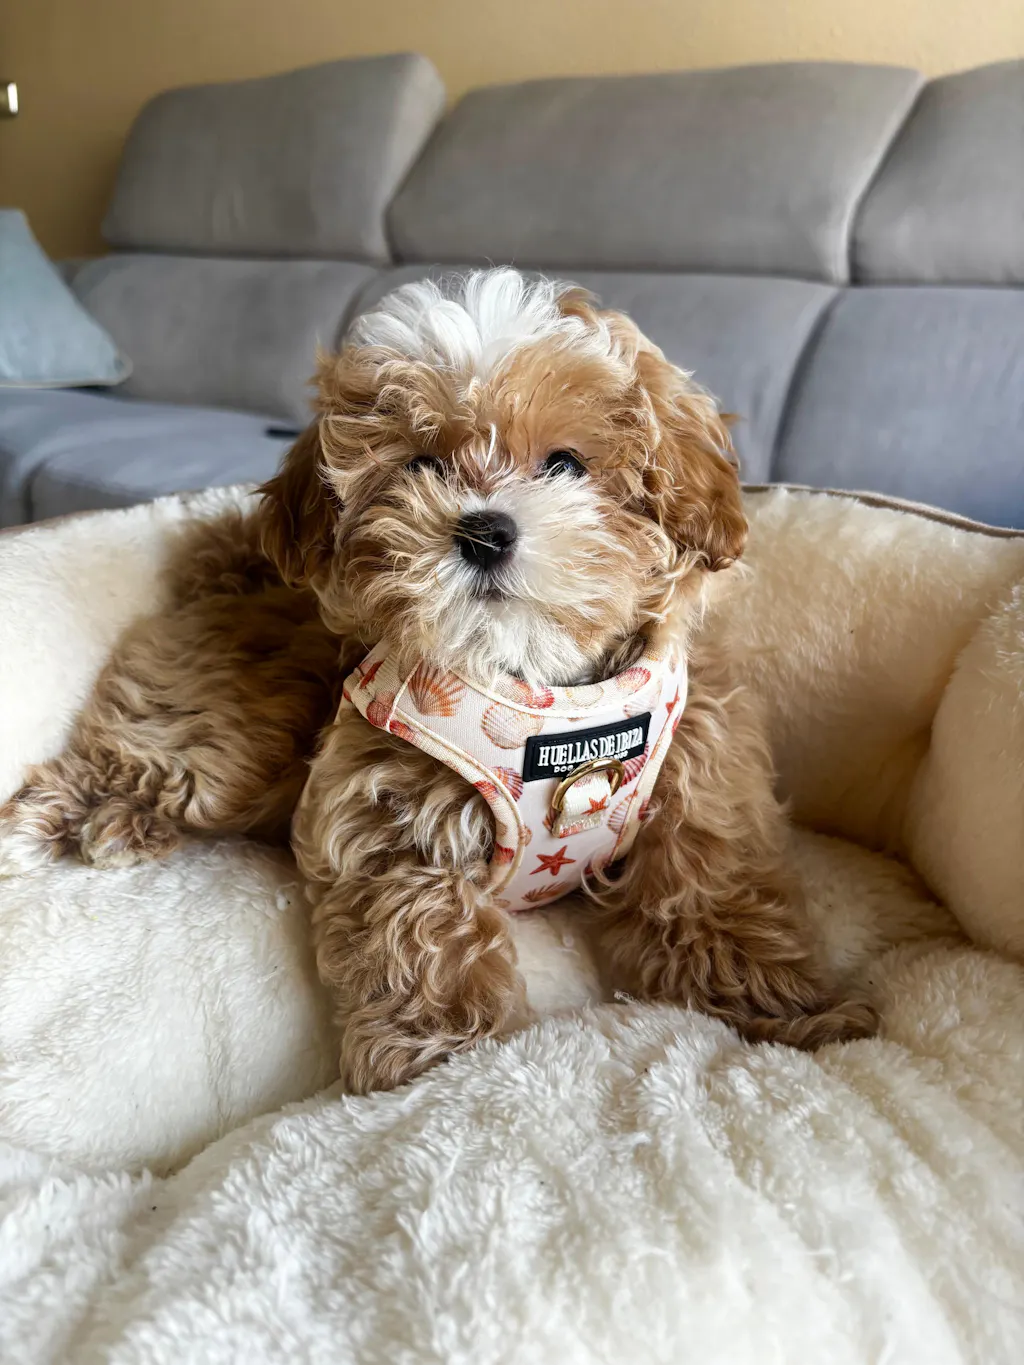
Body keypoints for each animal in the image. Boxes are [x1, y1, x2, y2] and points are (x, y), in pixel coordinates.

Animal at [0, 269, 877, 1092]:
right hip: (233, 724)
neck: (545, 701)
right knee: (159, 753)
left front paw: (800, 1015)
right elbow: (420, 932)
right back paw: (67, 818)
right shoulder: (385, 803)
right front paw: (445, 1065)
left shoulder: (700, 785)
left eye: (565, 463)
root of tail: (230, 574)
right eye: (421, 464)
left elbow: (717, 901)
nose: (484, 529)